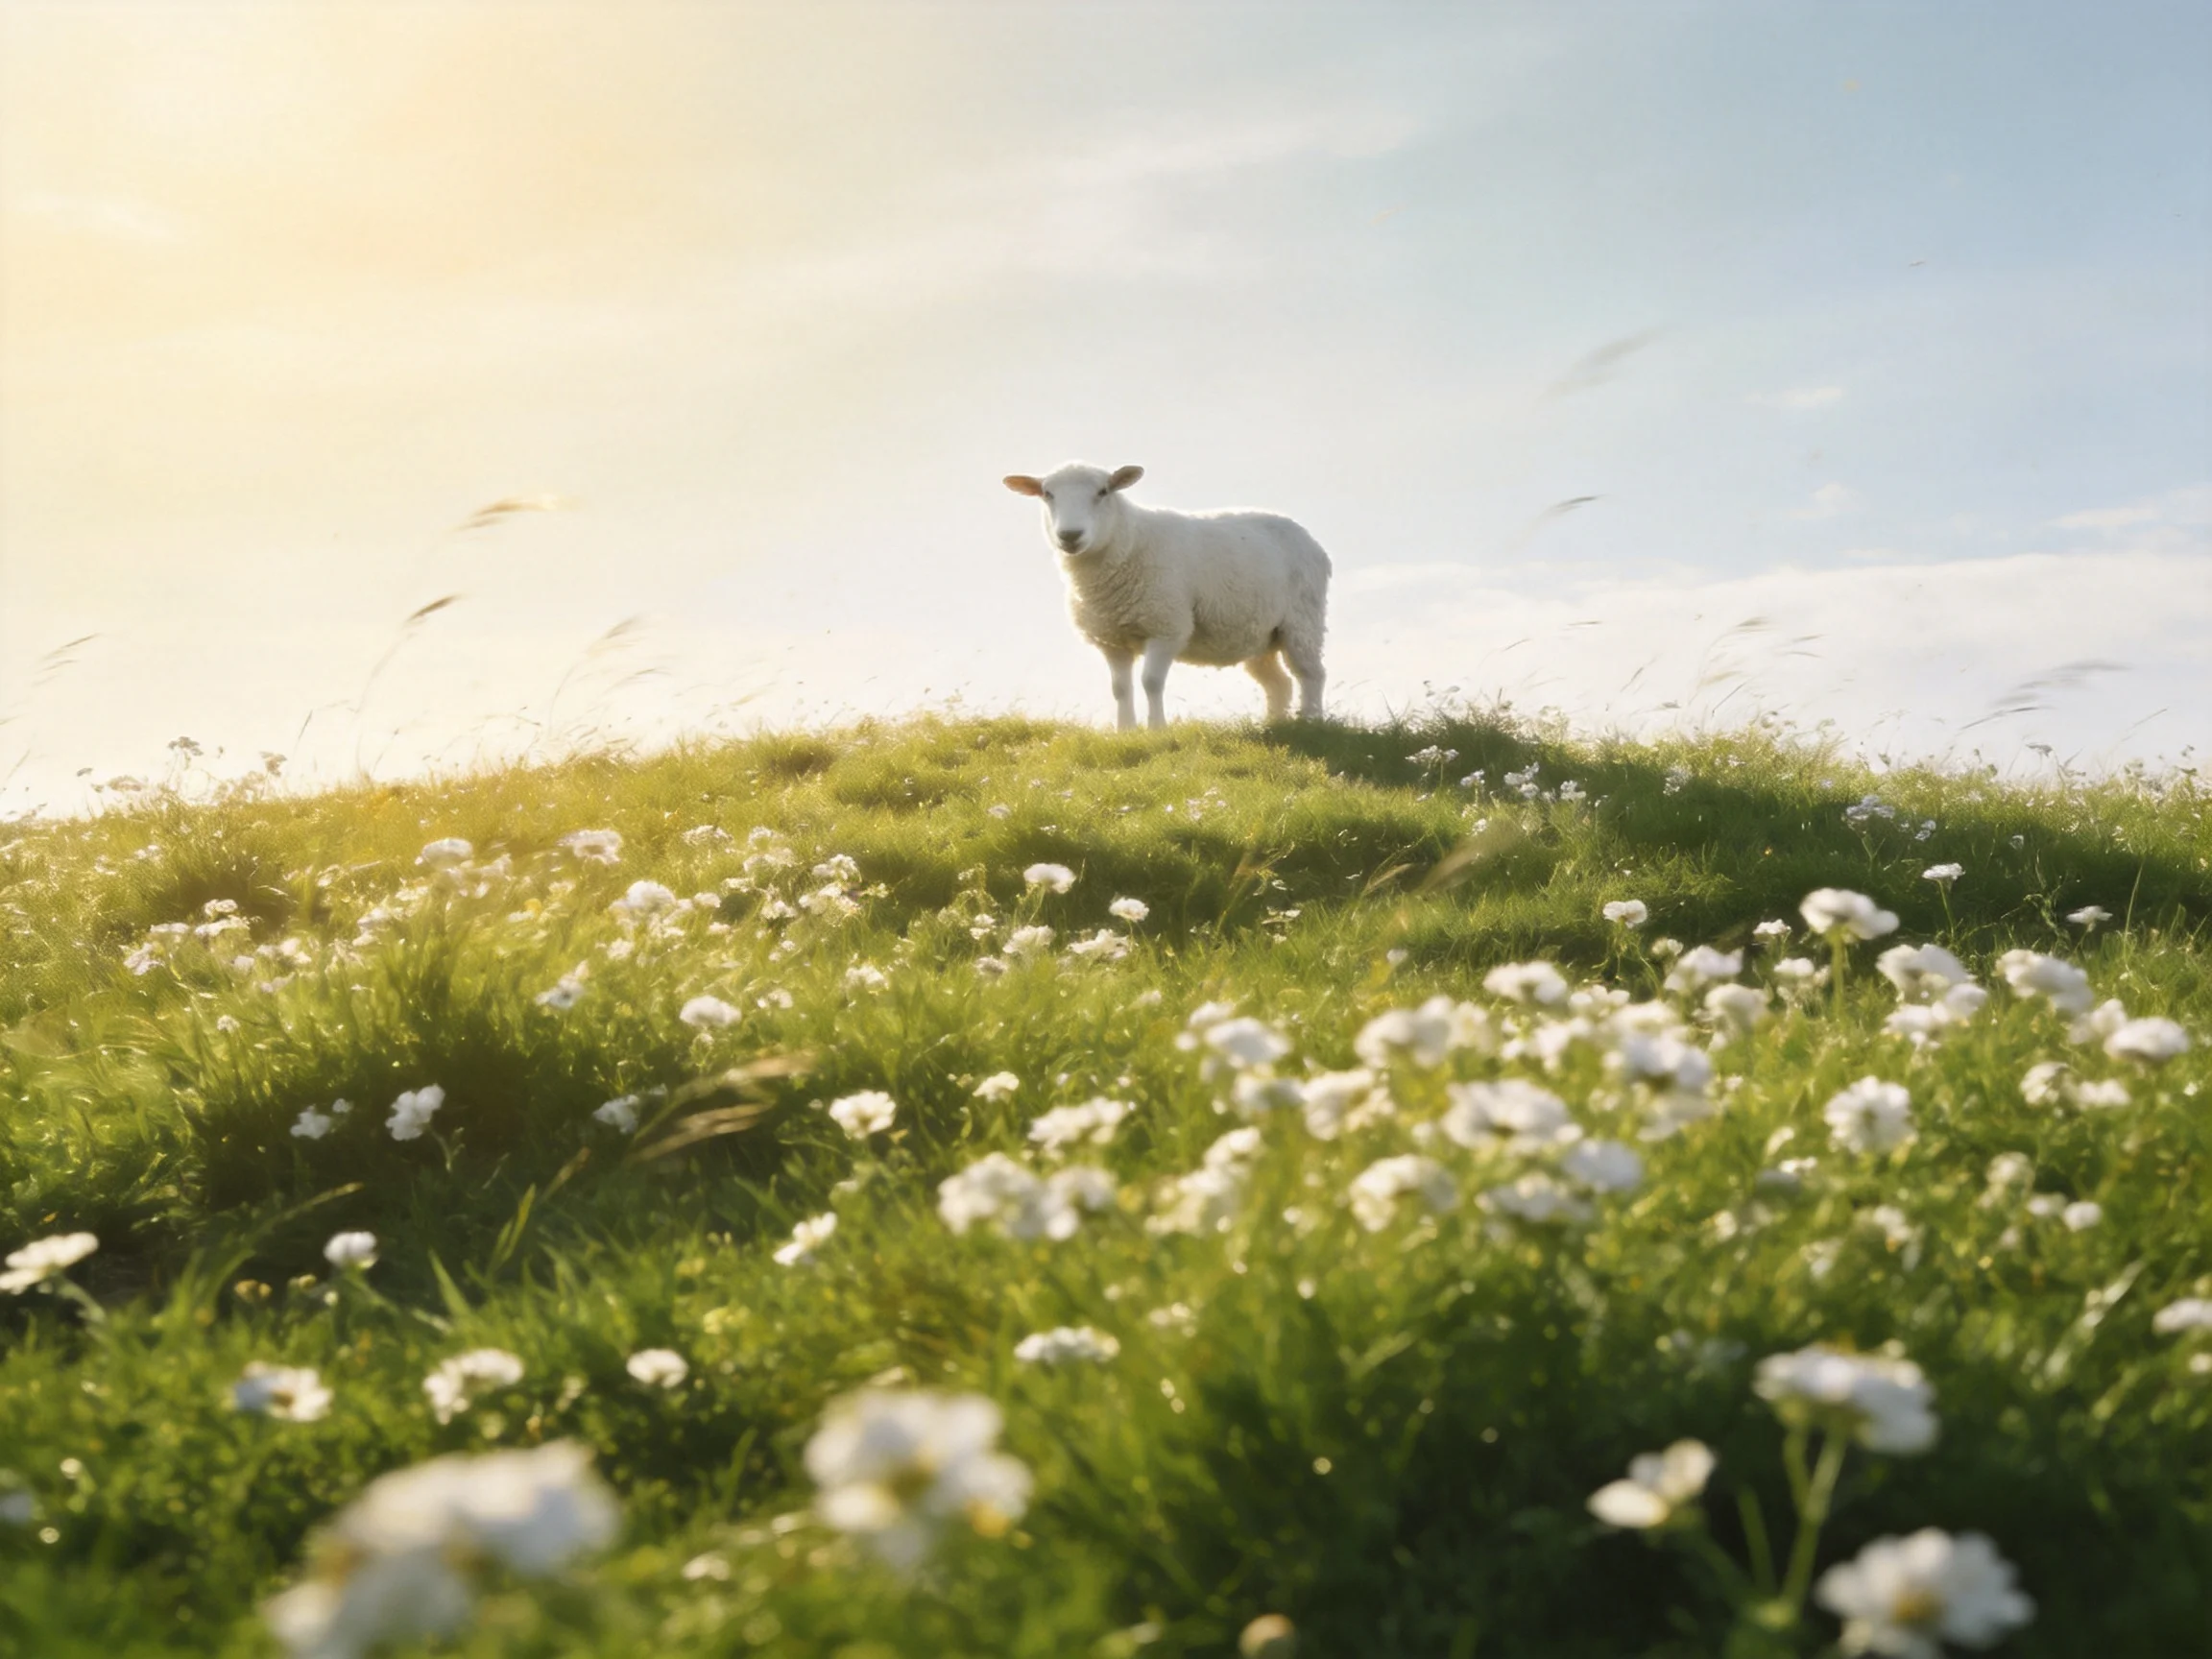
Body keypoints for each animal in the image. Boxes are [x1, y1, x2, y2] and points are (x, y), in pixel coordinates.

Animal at [1003, 462, 1330, 730]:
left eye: (1103, 491)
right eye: (1047, 494)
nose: (1070, 535)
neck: (1129, 541)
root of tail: (1308, 537)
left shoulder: (1166, 627)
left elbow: (1151, 682)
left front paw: (1157, 730)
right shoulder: (1111, 639)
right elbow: (1120, 689)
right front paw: (1125, 731)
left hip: (1303, 620)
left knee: (1310, 673)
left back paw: (1311, 722)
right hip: (1259, 635)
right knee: (1278, 683)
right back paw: (1275, 725)